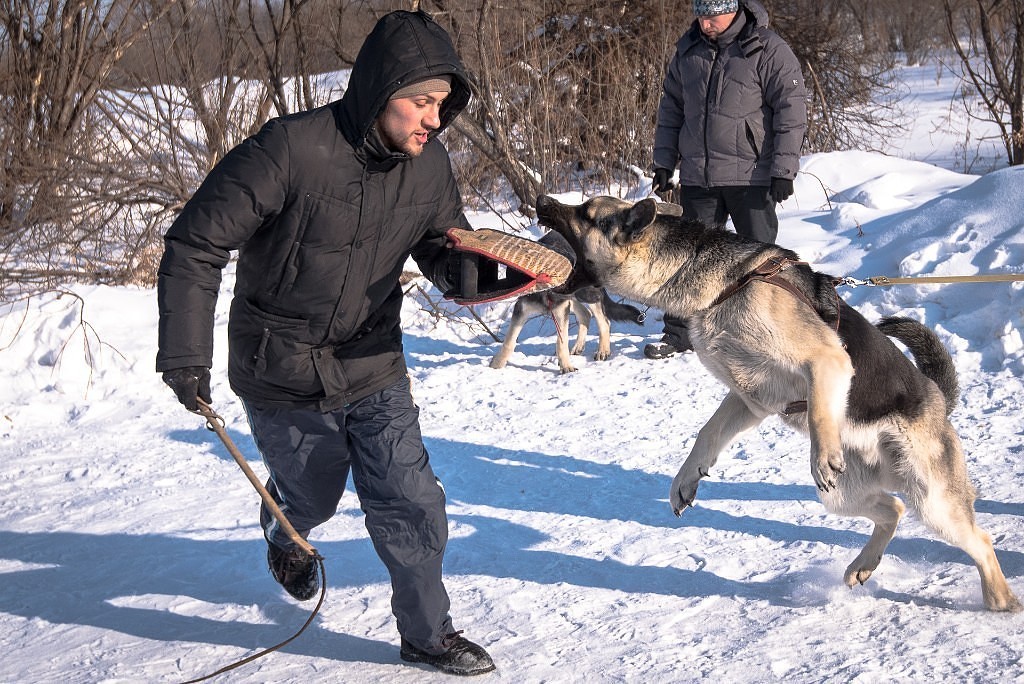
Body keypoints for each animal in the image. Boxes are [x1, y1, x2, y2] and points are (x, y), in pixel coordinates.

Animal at [487, 286, 638, 376]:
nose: (598, 295)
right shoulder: (522, 308)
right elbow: (509, 341)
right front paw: (497, 364)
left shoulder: (561, 309)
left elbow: (561, 342)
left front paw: (566, 366)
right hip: (577, 297)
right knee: (585, 314)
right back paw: (578, 346)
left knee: (604, 322)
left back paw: (603, 351)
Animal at [540, 193, 1019, 614]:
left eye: (585, 212)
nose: (542, 201)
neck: (723, 287)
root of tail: (938, 399)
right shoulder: (748, 399)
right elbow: (706, 434)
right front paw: (685, 479)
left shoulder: (826, 361)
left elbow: (822, 410)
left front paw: (820, 454)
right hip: (846, 497)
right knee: (893, 510)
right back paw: (863, 565)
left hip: (932, 501)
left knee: (979, 541)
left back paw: (1000, 600)